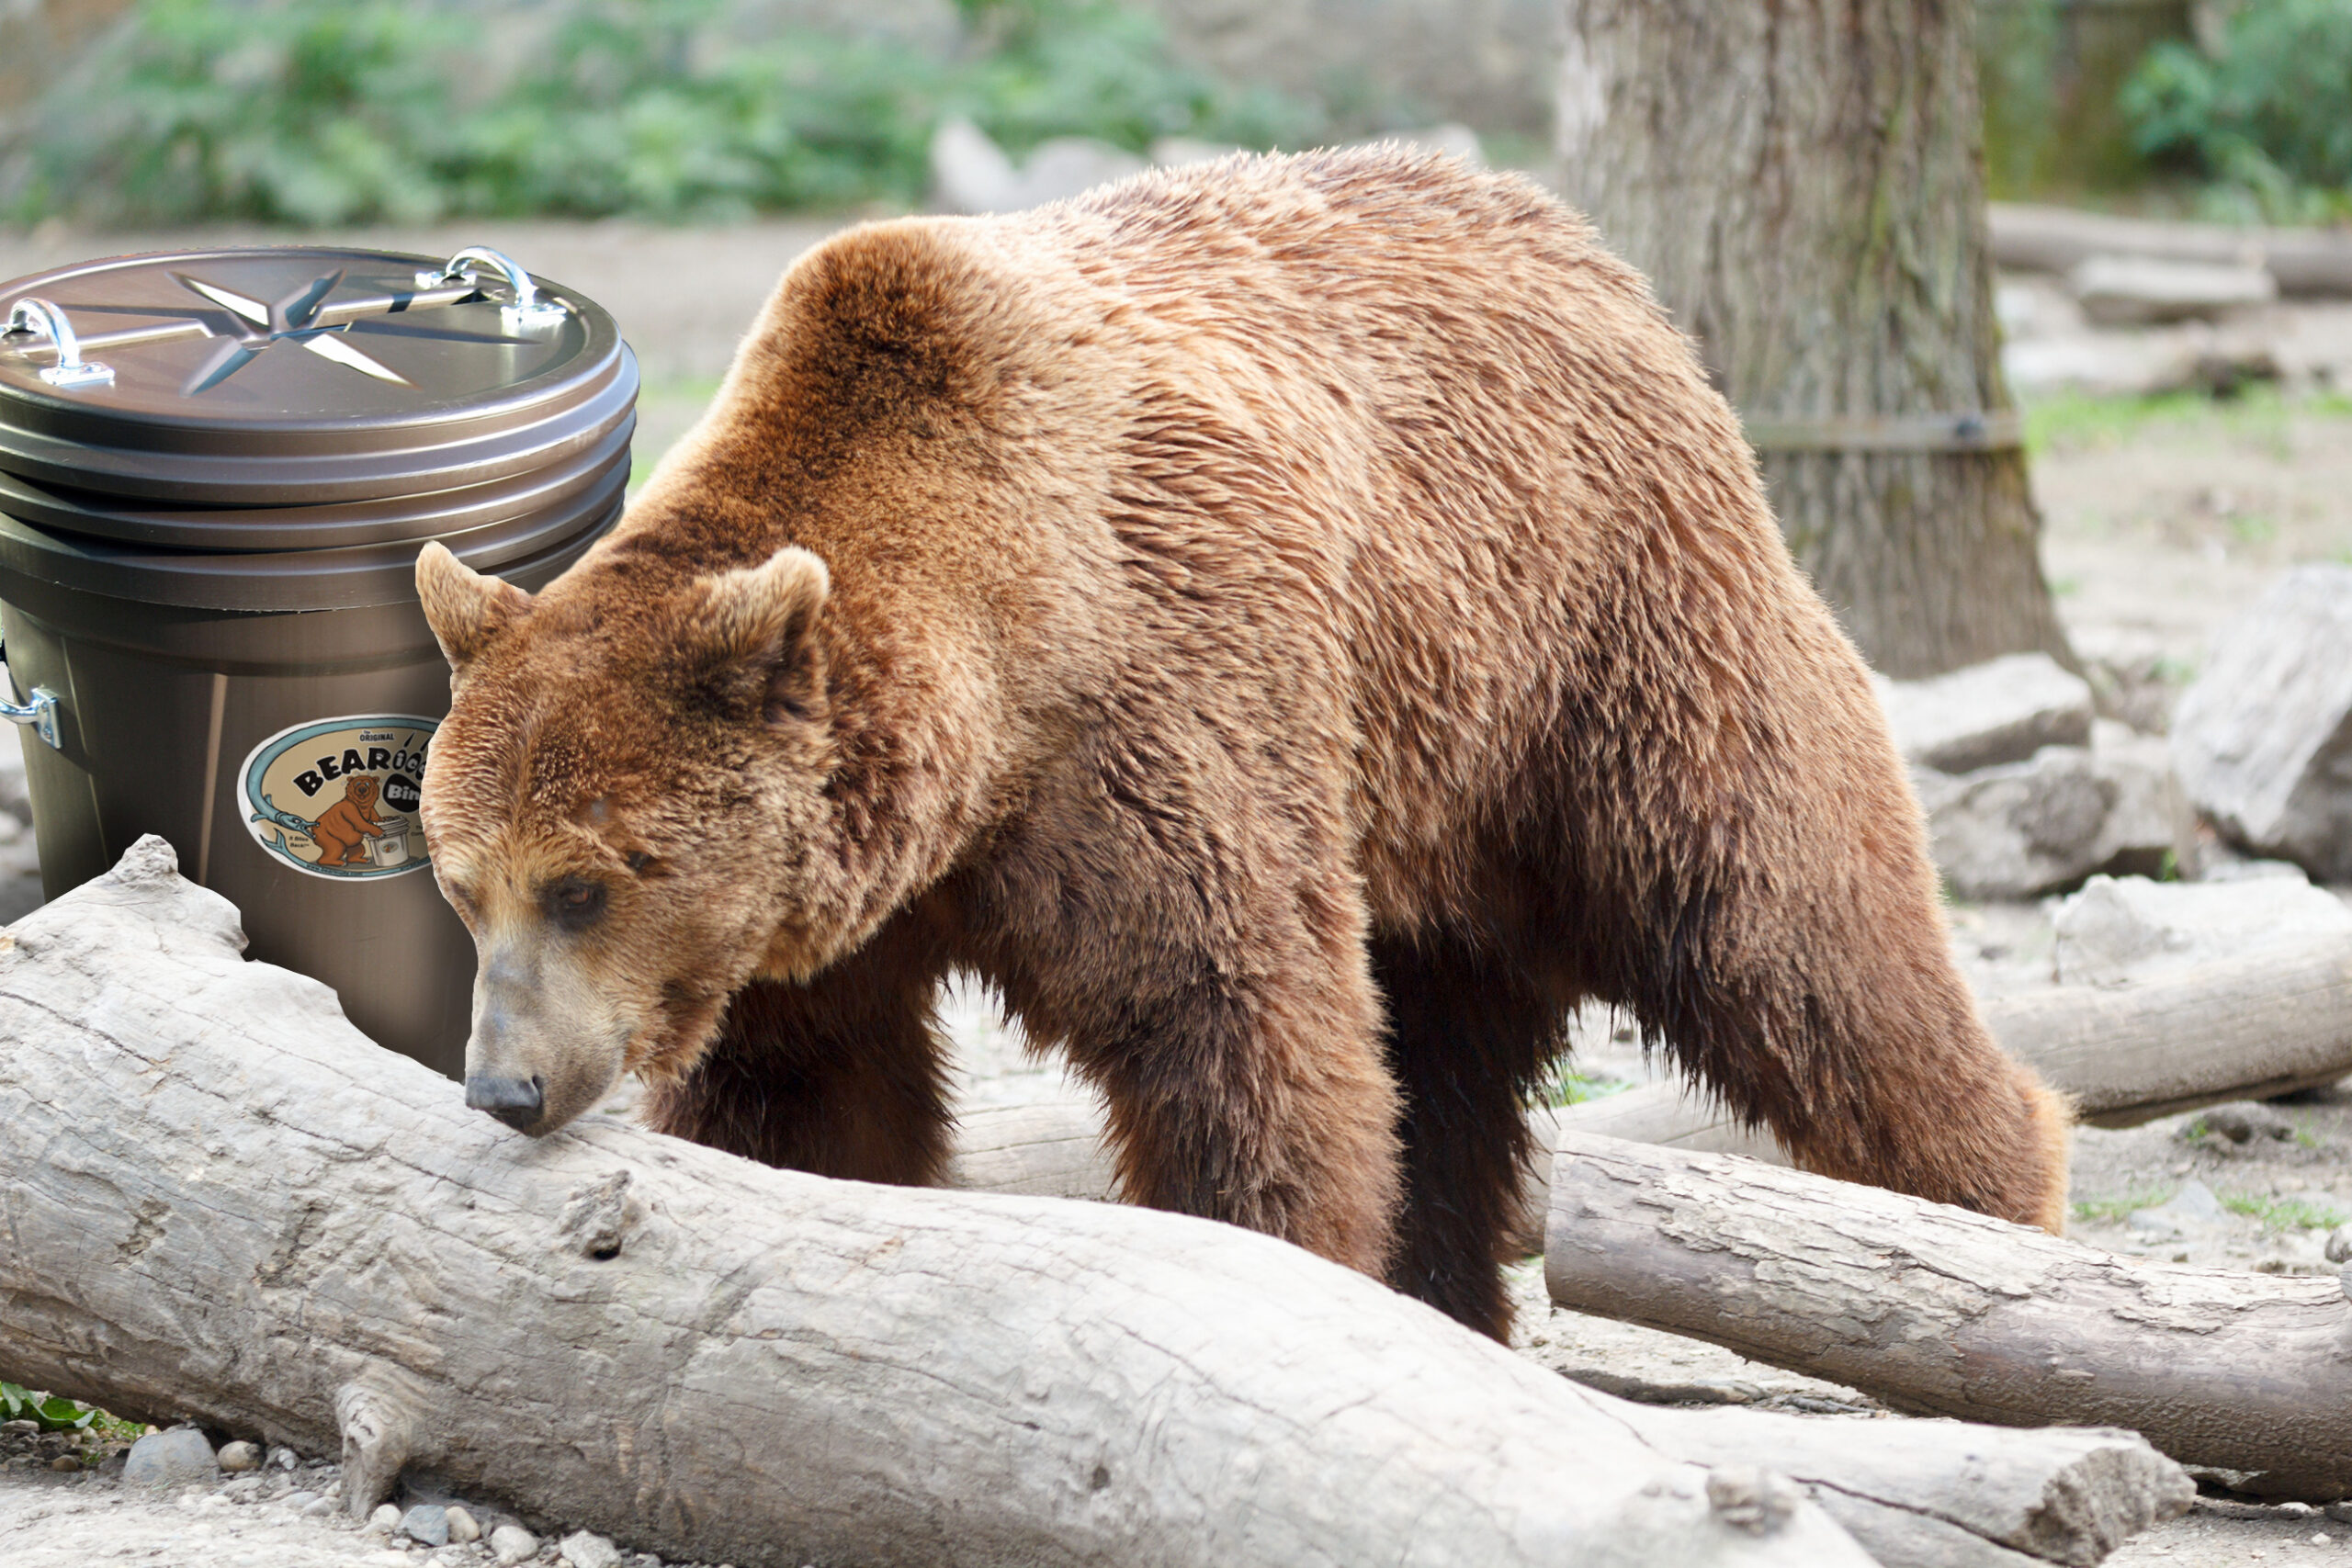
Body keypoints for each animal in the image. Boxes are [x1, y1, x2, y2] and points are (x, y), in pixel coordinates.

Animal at [413, 146, 2069, 1344]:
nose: (504, 1085)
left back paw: (1995, 1199)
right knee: (1448, 1077)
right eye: (462, 883)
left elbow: (1238, 1027)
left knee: (1787, 922)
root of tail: (1585, 248)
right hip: (1430, 793)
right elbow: (809, 1090)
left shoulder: (1159, 712)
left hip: (1608, 646)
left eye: (585, 882)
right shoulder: (829, 910)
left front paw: (1263, 1268)